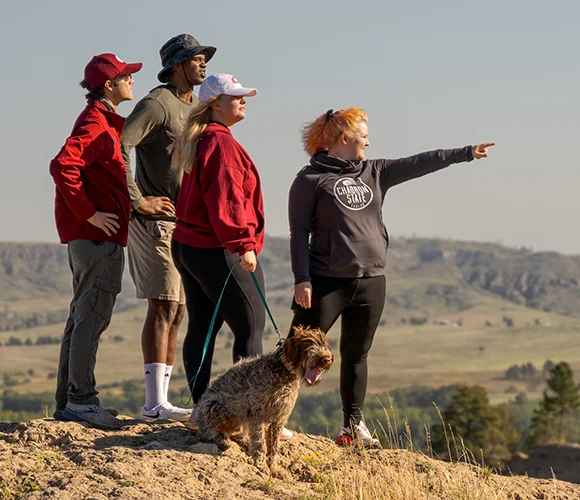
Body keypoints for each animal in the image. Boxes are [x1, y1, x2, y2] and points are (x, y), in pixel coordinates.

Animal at [196, 326, 334, 474]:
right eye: (310, 345)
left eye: (324, 345)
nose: (326, 359)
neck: (283, 371)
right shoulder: (257, 415)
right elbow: (260, 443)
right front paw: (261, 465)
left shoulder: (279, 418)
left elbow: (273, 447)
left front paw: (273, 467)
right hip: (213, 406)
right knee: (207, 432)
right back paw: (222, 440)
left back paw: (243, 439)